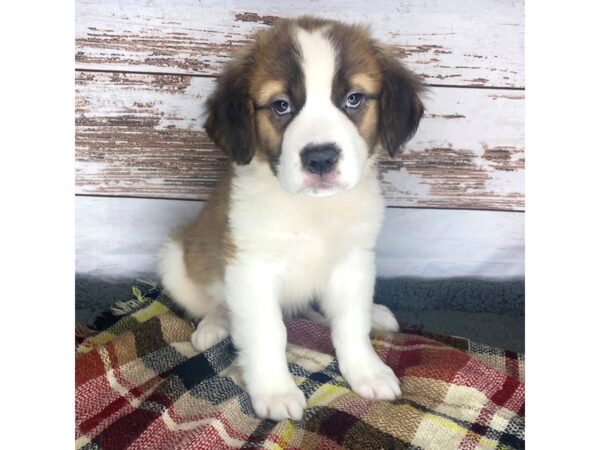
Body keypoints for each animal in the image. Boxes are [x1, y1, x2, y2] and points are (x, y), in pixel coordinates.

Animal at [158, 14, 422, 422]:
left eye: (353, 99)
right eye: (281, 105)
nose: (320, 158)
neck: (312, 211)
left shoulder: (353, 262)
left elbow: (351, 323)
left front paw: (367, 370)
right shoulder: (251, 269)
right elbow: (268, 332)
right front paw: (275, 389)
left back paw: (374, 313)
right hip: (176, 260)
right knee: (218, 303)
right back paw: (214, 324)